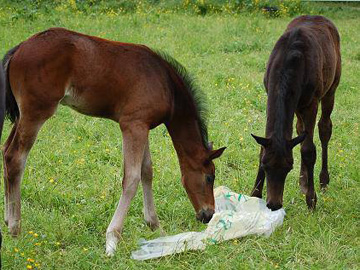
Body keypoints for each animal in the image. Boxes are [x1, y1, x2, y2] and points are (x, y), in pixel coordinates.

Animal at [2, 28, 225, 256]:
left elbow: (147, 171)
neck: (165, 84)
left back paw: (8, 220)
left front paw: (155, 226)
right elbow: (132, 178)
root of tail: (19, 49)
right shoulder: (132, 125)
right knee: (15, 158)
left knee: (5, 151)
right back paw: (15, 228)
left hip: (22, 115)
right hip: (36, 112)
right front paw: (112, 240)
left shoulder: (142, 125)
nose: (208, 214)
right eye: (209, 177)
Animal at [250, 15, 340, 211]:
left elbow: (308, 150)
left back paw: (323, 181)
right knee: (299, 129)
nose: (273, 204)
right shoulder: (270, 95)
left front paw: (311, 200)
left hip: (331, 88)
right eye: (265, 166)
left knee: (324, 128)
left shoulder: (311, 103)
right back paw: (303, 182)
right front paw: (254, 194)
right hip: (297, 106)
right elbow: (264, 146)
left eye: (288, 167)